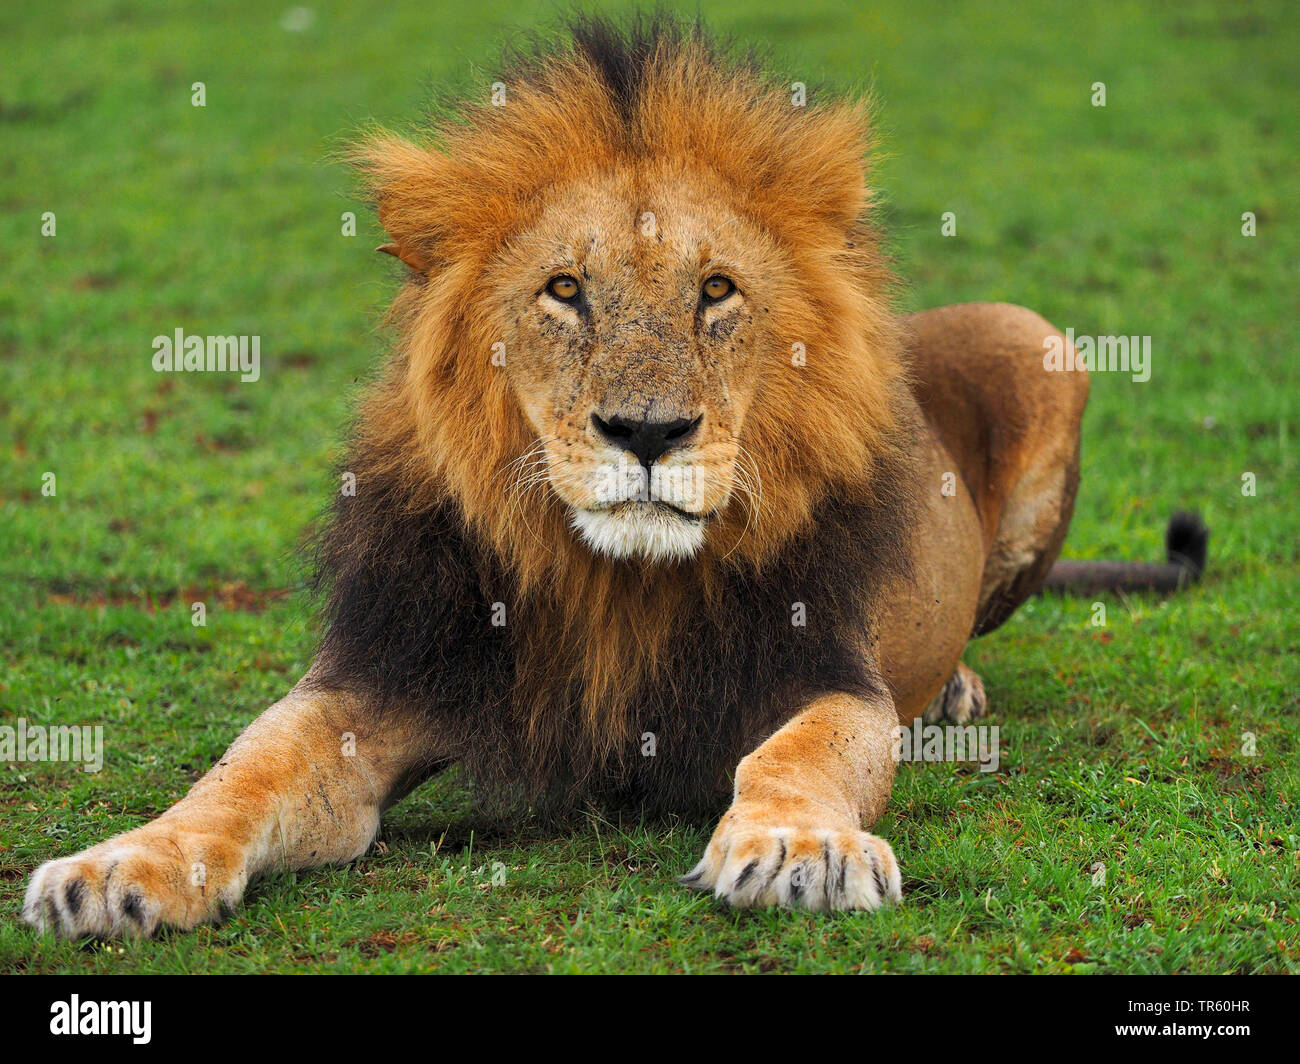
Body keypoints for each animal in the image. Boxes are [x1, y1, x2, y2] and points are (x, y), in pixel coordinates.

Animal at [24, 15, 1207, 936]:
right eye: (564, 290)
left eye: (716, 291)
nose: (648, 432)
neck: (616, 580)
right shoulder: (378, 676)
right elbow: (244, 769)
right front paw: (120, 865)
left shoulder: (825, 671)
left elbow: (802, 754)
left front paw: (799, 846)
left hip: (1040, 343)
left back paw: (954, 686)